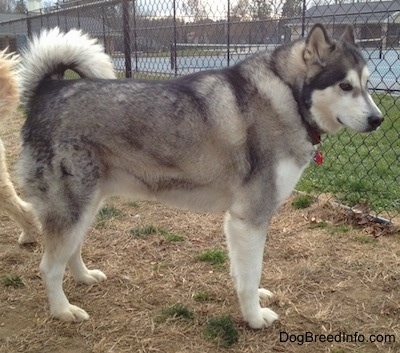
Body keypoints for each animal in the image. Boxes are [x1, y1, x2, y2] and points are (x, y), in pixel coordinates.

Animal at [17, 24, 382, 328]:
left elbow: (242, 273)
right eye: (345, 85)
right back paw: (62, 310)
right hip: (73, 207)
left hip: (88, 205)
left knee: (71, 250)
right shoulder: (250, 218)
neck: (287, 97)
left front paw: (251, 302)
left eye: (367, 85)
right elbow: (251, 274)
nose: (378, 119)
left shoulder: (237, 223)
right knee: (49, 267)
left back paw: (83, 277)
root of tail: (48, 89)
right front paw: (255, 318)